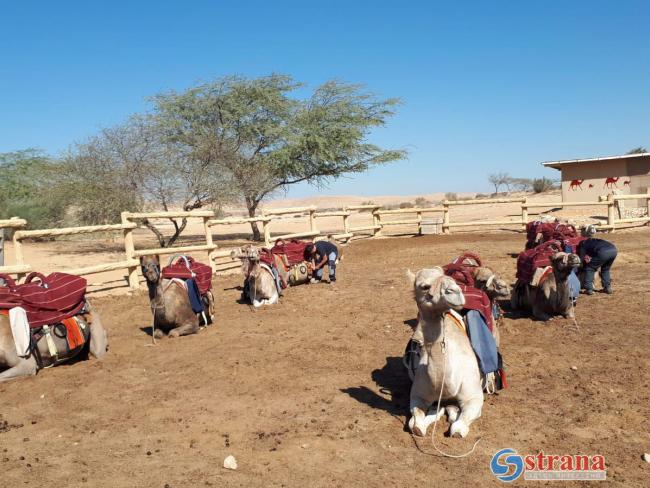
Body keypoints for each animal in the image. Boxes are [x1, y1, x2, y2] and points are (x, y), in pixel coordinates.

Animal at [404, 266, 480, 438]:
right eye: (424, 286)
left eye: (449, 278)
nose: (455, 291)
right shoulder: (417, 395)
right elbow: (415, 423)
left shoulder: (474, 396)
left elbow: (458, 427)